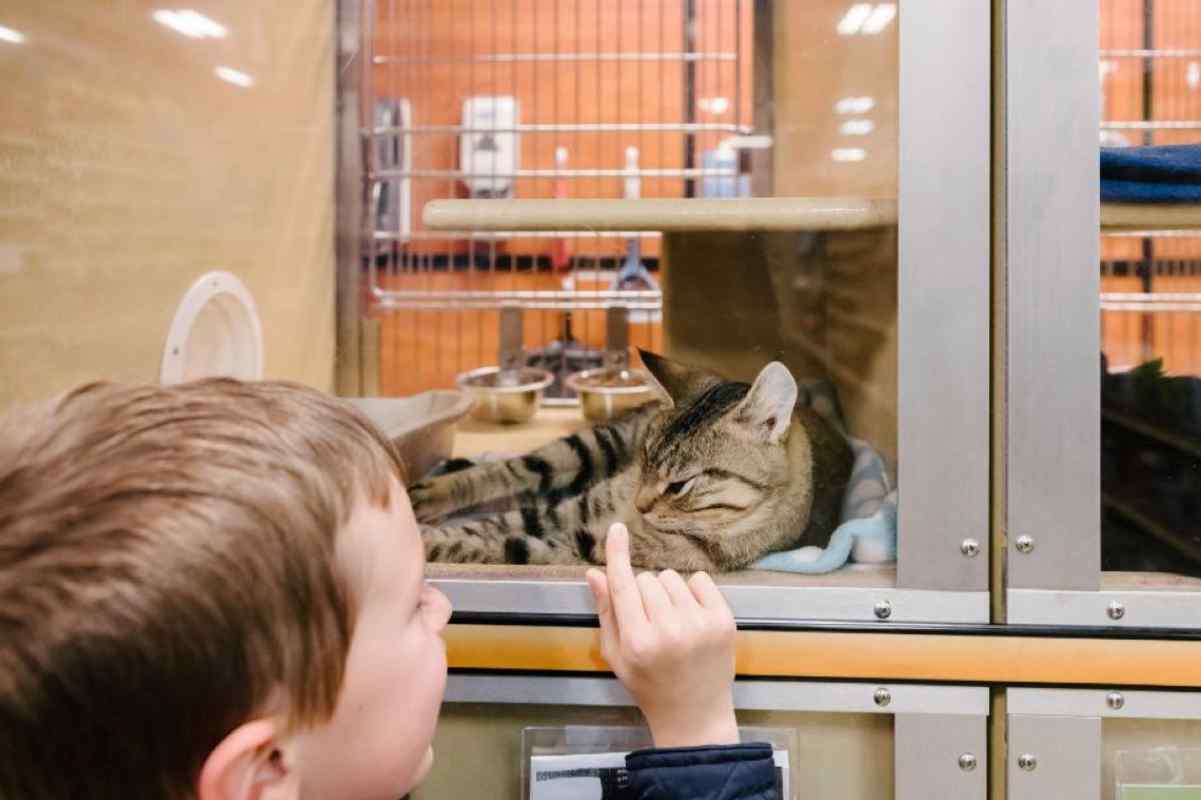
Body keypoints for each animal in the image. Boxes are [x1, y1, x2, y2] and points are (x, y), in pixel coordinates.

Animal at [413, 348, 855, 566]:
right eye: (645, 456)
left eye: (680, 485)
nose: (640, 505)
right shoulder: (580, 506)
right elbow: (494, 524)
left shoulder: (593, 543)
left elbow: (504, 542)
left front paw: (427, 544)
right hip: (595, 445)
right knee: (509, 470)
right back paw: (427, 494)